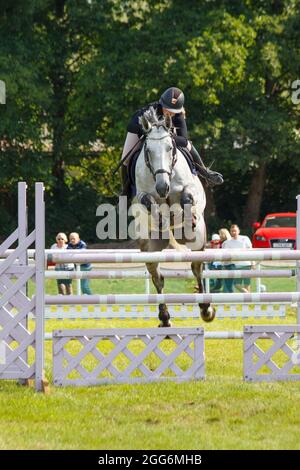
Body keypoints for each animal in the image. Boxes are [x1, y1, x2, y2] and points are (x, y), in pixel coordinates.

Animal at [130, 106, 214, 326]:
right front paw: (161, 220)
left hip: (199, 243)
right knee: (157, 278)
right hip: (149, 249)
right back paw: (165, 318)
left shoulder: (189, 188)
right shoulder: (143, 194)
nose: (162, 187)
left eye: (170, 148)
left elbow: (187, 197)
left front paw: (188, 219)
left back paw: (206, 309)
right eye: (148, 151)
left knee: (196, 268)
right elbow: (148, 201)